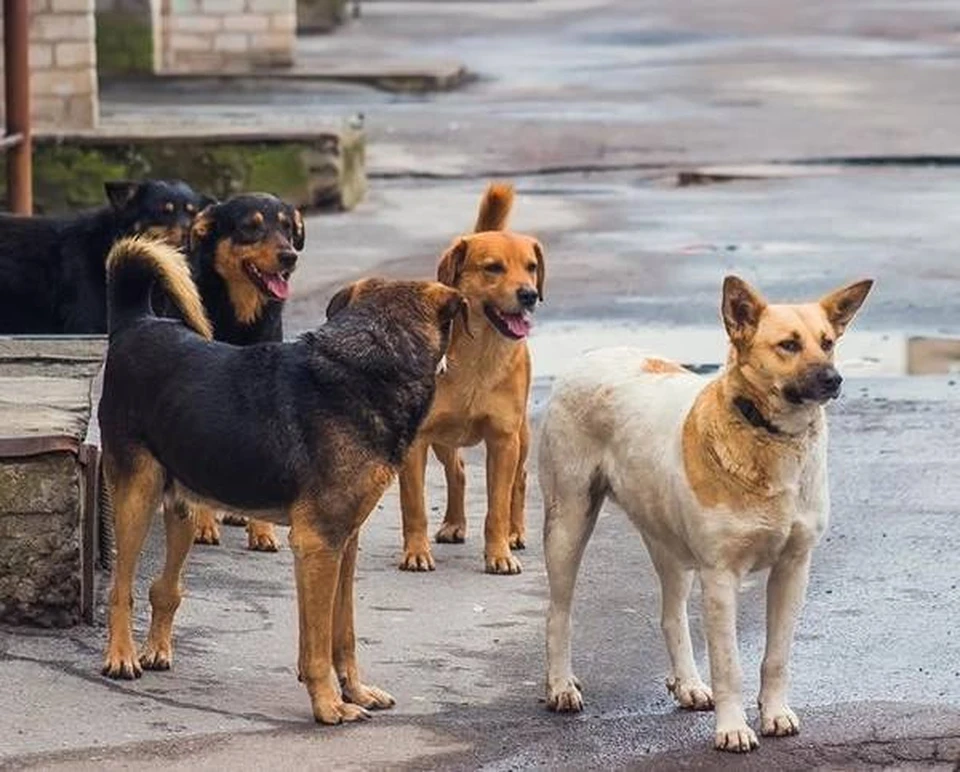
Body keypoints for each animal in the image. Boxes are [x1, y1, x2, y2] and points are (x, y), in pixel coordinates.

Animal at [99, 237, 464, 724]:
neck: (372, 361)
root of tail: (136, 322)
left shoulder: (344, 543)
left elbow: (342, 633)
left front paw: (355, 691)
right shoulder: (317, 544)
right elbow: (317, 644)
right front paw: (328, 705)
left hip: (183, 507)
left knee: (164, 587)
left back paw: (156, 649)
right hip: (136, 496)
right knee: (121, 587)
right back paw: (121, 657)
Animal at [172, 196, 304, 552]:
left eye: (288, 227)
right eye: (250, 227)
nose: (290, 256)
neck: (240, 317)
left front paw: (262, 531)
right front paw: (203, 525)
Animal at [398, 182, 548, 572]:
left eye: (531, 267)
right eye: (493, 268)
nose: (529, 295)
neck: (479, 355)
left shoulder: (503, 440)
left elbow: (497, 506)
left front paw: (499, 553)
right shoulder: (416, 441)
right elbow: (414, 506)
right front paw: (416, 551)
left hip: (521, 436)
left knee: (519, 480)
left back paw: (515, 531)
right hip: (442, 438)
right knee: (459, 471)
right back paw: (454, 524)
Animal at [536, 274, 872, 752]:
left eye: (827, 343)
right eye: (788, 345)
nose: (834, 379)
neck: (768, 436)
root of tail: (591, 355)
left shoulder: (793, 568)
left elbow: (777, 657)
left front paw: (774, 713)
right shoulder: (720, 577)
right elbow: (729, 664)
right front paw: (732, 728)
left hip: (669, 545)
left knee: (671, 616)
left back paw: (688, 684)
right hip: (568, 523)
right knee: (558, 614)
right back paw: (561, 686)